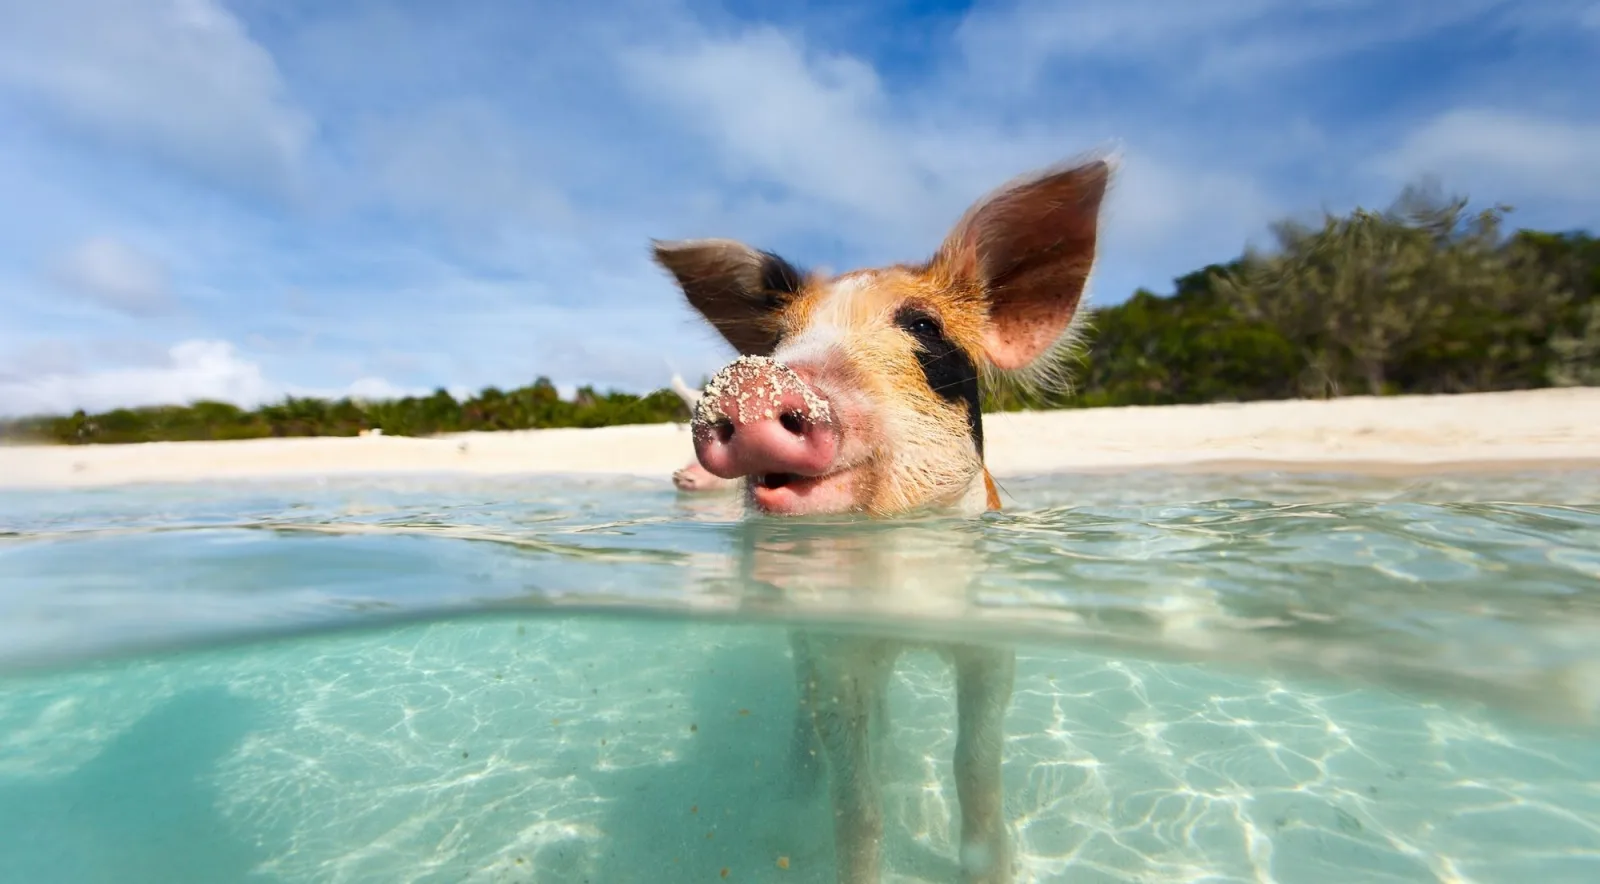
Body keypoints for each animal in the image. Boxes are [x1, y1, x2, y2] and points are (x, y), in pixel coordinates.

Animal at [651, 156, 1111, 883]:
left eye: (922, 326)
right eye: (777, 340)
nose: (752, 382)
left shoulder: (991, 641)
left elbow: (974, 762)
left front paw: (991, 868)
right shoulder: (835, 647)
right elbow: (855, 796)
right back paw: (796, 782)